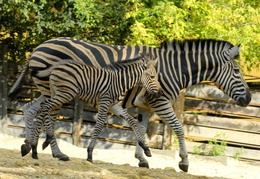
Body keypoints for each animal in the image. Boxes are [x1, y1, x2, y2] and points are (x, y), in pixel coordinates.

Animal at [28, 54, 162, 162]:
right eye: (152, 77)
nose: (160, 93)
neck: (120, 82)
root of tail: (56, 66)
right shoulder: (104, 103)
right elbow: (99, 126)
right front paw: (90, 154)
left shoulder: (114, 107)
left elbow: (132, 121)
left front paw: (146, 148)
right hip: (65, 94)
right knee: (45, 106)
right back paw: (46, 139)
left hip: (55, 93)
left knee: (42, 110)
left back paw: (34, 149)